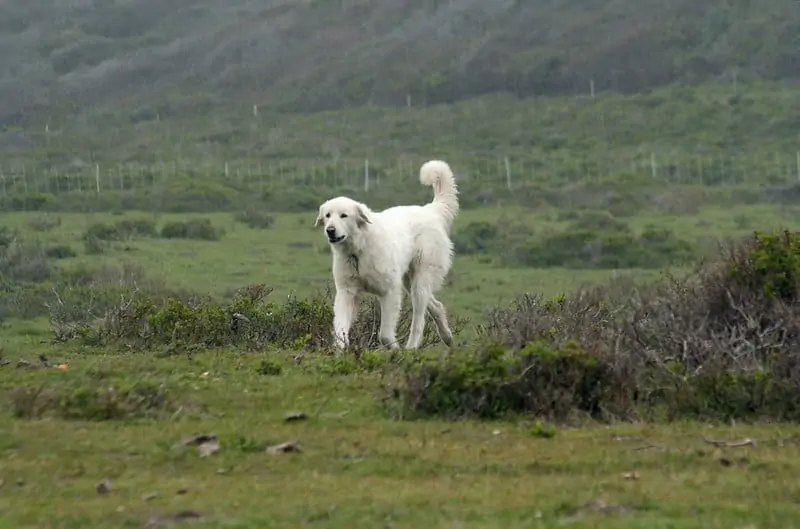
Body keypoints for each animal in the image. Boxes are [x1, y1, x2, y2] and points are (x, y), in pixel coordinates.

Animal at [316, 161, 460, 350]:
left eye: (343, 215)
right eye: (328, 215)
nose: (330, 230)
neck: (359, 250)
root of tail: (430, 210)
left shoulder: (389, 291)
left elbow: (384, 335)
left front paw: (395, 349)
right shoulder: (347, 292)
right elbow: (340, 331)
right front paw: (340, 351)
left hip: (420, 282)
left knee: (419, 321)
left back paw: (411, 348)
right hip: (409, 282)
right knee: (436, 306)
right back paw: (447, 336)